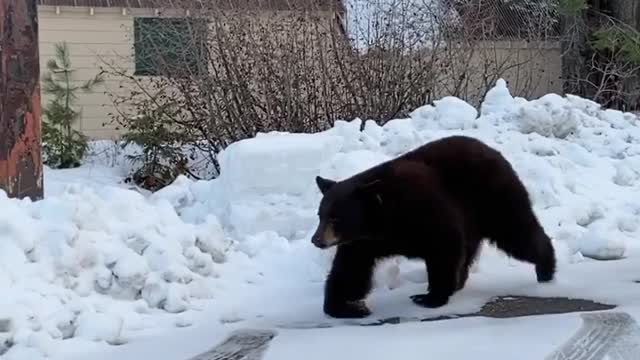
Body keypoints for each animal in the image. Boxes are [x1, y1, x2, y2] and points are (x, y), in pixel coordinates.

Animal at [310, 135, 556, 318]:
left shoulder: (424, 211)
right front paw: (344, 307)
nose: (316, 240)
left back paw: (546, 269)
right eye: (320, 215)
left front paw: (429, 297)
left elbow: (443, 248)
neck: (384, 218)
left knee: (517, 233)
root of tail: (495, 152)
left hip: (492, 199)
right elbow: (350, 269)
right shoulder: (363, 242)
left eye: (336, 218)